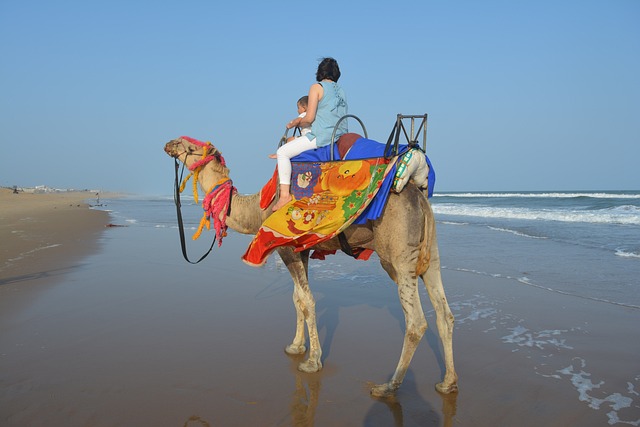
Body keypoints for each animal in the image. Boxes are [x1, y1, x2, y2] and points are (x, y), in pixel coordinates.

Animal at [164, 137, 458, 397]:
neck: (259, 208)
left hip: (397, 254)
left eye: (192, 147)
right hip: (430, 253)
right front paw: (296, 347)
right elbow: (297, 299)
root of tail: (421, 200)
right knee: (444, 313)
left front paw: (312, 361)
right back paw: (448, 383)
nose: (169, 144)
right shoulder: (300, 250)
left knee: (416, 321)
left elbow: (307, 300)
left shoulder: (284, 246)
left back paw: (389, 386)